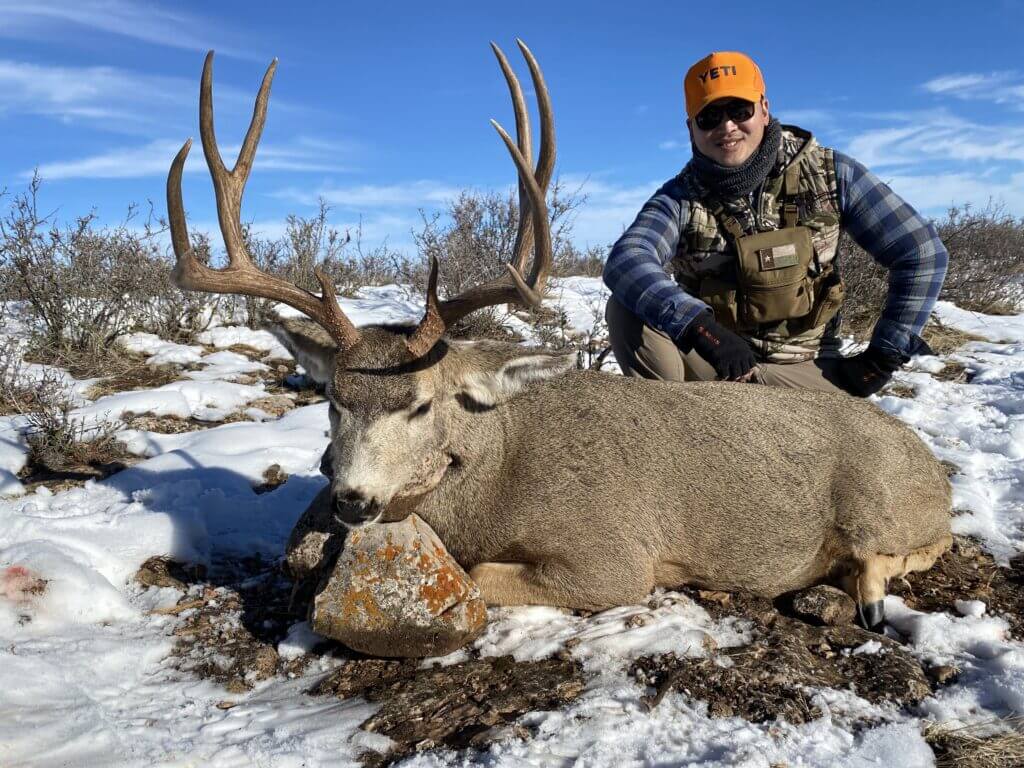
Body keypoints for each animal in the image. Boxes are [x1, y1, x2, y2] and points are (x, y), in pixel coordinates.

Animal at [166, 41, 952, 632]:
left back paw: (859, 593)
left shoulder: (616, 559)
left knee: (921, 544)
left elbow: (480, 572)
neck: (494, 474)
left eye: (421, 404)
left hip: (883, 503)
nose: (352, 499)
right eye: (331, 399)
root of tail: (932, 465)